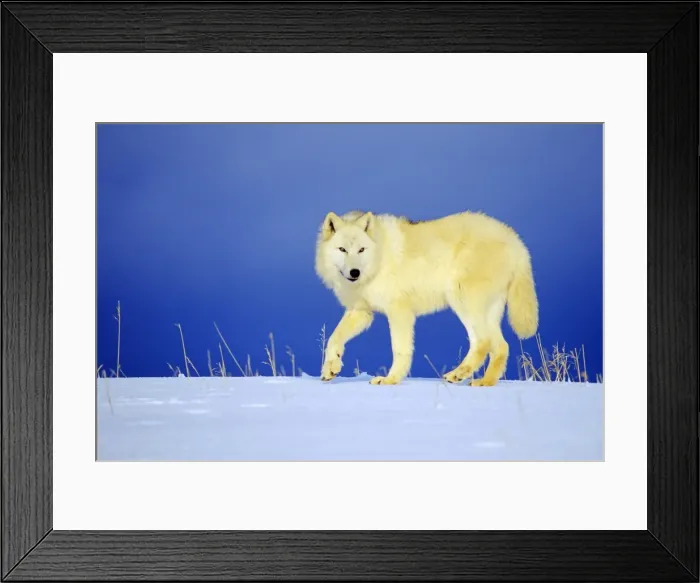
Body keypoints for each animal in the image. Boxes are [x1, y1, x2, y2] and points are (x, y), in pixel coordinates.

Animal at [314, 209, 539, 386]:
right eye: (342, 249)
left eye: (361, 249)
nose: (355, 272)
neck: (378, 260)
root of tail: (516, 241)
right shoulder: (361, 312)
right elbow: (334, 338)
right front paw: (330, 369)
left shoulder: (399, 311)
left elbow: (400, 349)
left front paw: (390, 379)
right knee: (500, 346)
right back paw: (482, 382)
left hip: (462, 301)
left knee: (484, 342)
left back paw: (460, 374)